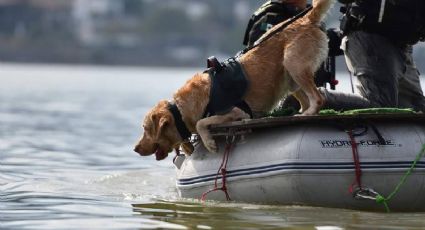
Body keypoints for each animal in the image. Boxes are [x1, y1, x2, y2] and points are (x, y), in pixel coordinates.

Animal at [134, 0, 332, 160]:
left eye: (145, 128)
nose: (135, 148)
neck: (182, 110)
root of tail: (306, 19)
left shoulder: (237, 113)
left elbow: (201, 122)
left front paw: (209, 143)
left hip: (293, 64)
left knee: (318, 98)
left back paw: (307, 113)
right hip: (290, 79)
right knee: (305, 100)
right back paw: (298, 113)